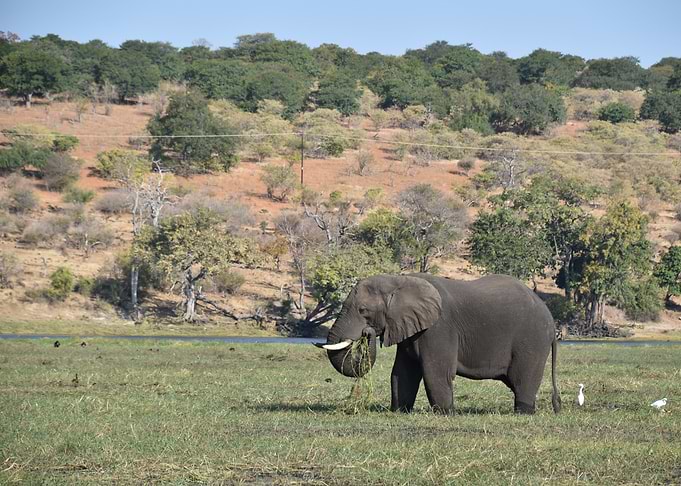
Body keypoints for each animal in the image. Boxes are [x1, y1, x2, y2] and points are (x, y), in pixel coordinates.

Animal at [316, 273, 561, 414]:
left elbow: (436, 371)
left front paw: (444, 413)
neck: (400, 280)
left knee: (522, 380)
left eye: (363, 310)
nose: (367, 333)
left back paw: (523, 413)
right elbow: (403, 372)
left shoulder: (439, 327)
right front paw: (399, 411)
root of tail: (551, 319)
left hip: (531, 340)